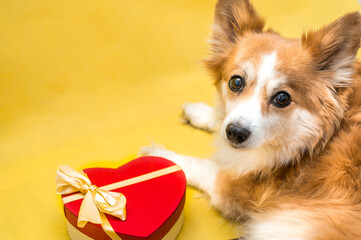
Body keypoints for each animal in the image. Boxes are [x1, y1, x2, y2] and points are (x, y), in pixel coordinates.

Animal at [140, 0, 360, 239]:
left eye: (282, 98)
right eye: (236, 82)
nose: (235, 133)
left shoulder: (236, 188)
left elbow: (203, 166)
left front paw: (162, 158)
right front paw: (201, 112)